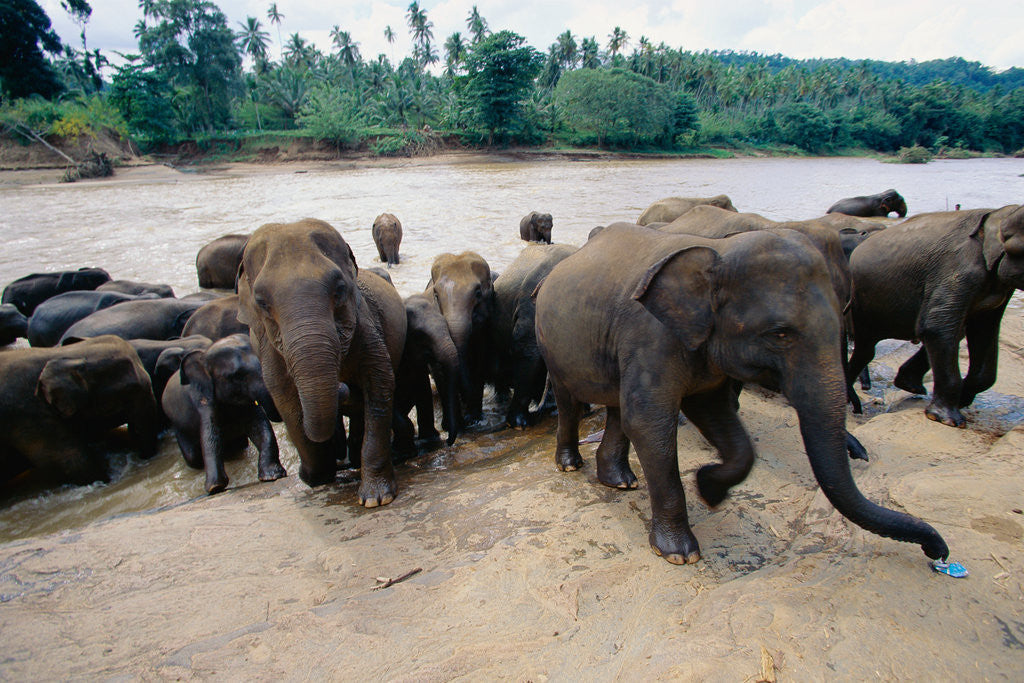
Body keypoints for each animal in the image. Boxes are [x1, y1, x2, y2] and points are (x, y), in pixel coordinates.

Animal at [161, 334, 285, 494]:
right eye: (235, 376)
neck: (205, 355)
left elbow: (259, 426)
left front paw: (272, 476)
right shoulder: (203, 398)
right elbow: (211, 435)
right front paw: (215, 488)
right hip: (177, 424)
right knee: (193, 457)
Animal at [237, 218, 407, 507]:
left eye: (339, 290)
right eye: (261, 302)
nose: (342, 386)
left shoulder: (364, 322)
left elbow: (380, 383)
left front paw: (376, 499)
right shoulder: (268, 350)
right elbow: (286, 400)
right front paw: (314, 477)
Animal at [427, 251, 496, 423]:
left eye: (478, 293)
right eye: (436, 295)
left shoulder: (485, 329)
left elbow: (480, 363)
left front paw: (474, 419)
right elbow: (438, 368)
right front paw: (451, 424)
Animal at [535, 224, 948, 565]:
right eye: (780, 333)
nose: (939, 553)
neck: (718, 250)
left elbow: (714, 415)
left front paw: (709, 488)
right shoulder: (650, 336)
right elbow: (650, 423)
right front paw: (680, 555)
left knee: (618, 406)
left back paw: (621, 482)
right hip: (551, 342)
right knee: (571, 400)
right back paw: (571, 465)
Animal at [847, 206, 1024, 427]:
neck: (999, 214)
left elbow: (984, 329)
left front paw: (963, 400)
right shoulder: (960, 268)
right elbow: (936, 327)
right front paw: (947, 420)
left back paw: (909, 386)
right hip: (863, 303)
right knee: (867, 348)